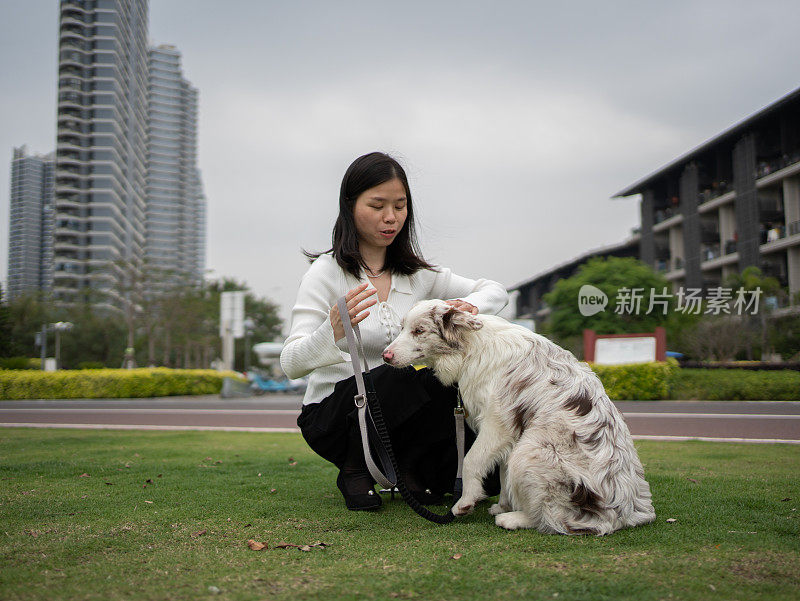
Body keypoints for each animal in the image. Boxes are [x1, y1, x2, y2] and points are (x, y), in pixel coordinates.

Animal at [382, 300, 656, 536]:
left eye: (419, 330)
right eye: (402, 328)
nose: (385, 356)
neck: (473, 347)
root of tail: (626, 514)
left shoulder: (497, 423)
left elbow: (471, 461)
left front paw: (466, 502)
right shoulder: (509, 433)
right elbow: (503, 475)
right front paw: (503, 504)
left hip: (530, 452)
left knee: (558, 520)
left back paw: (513, 519)